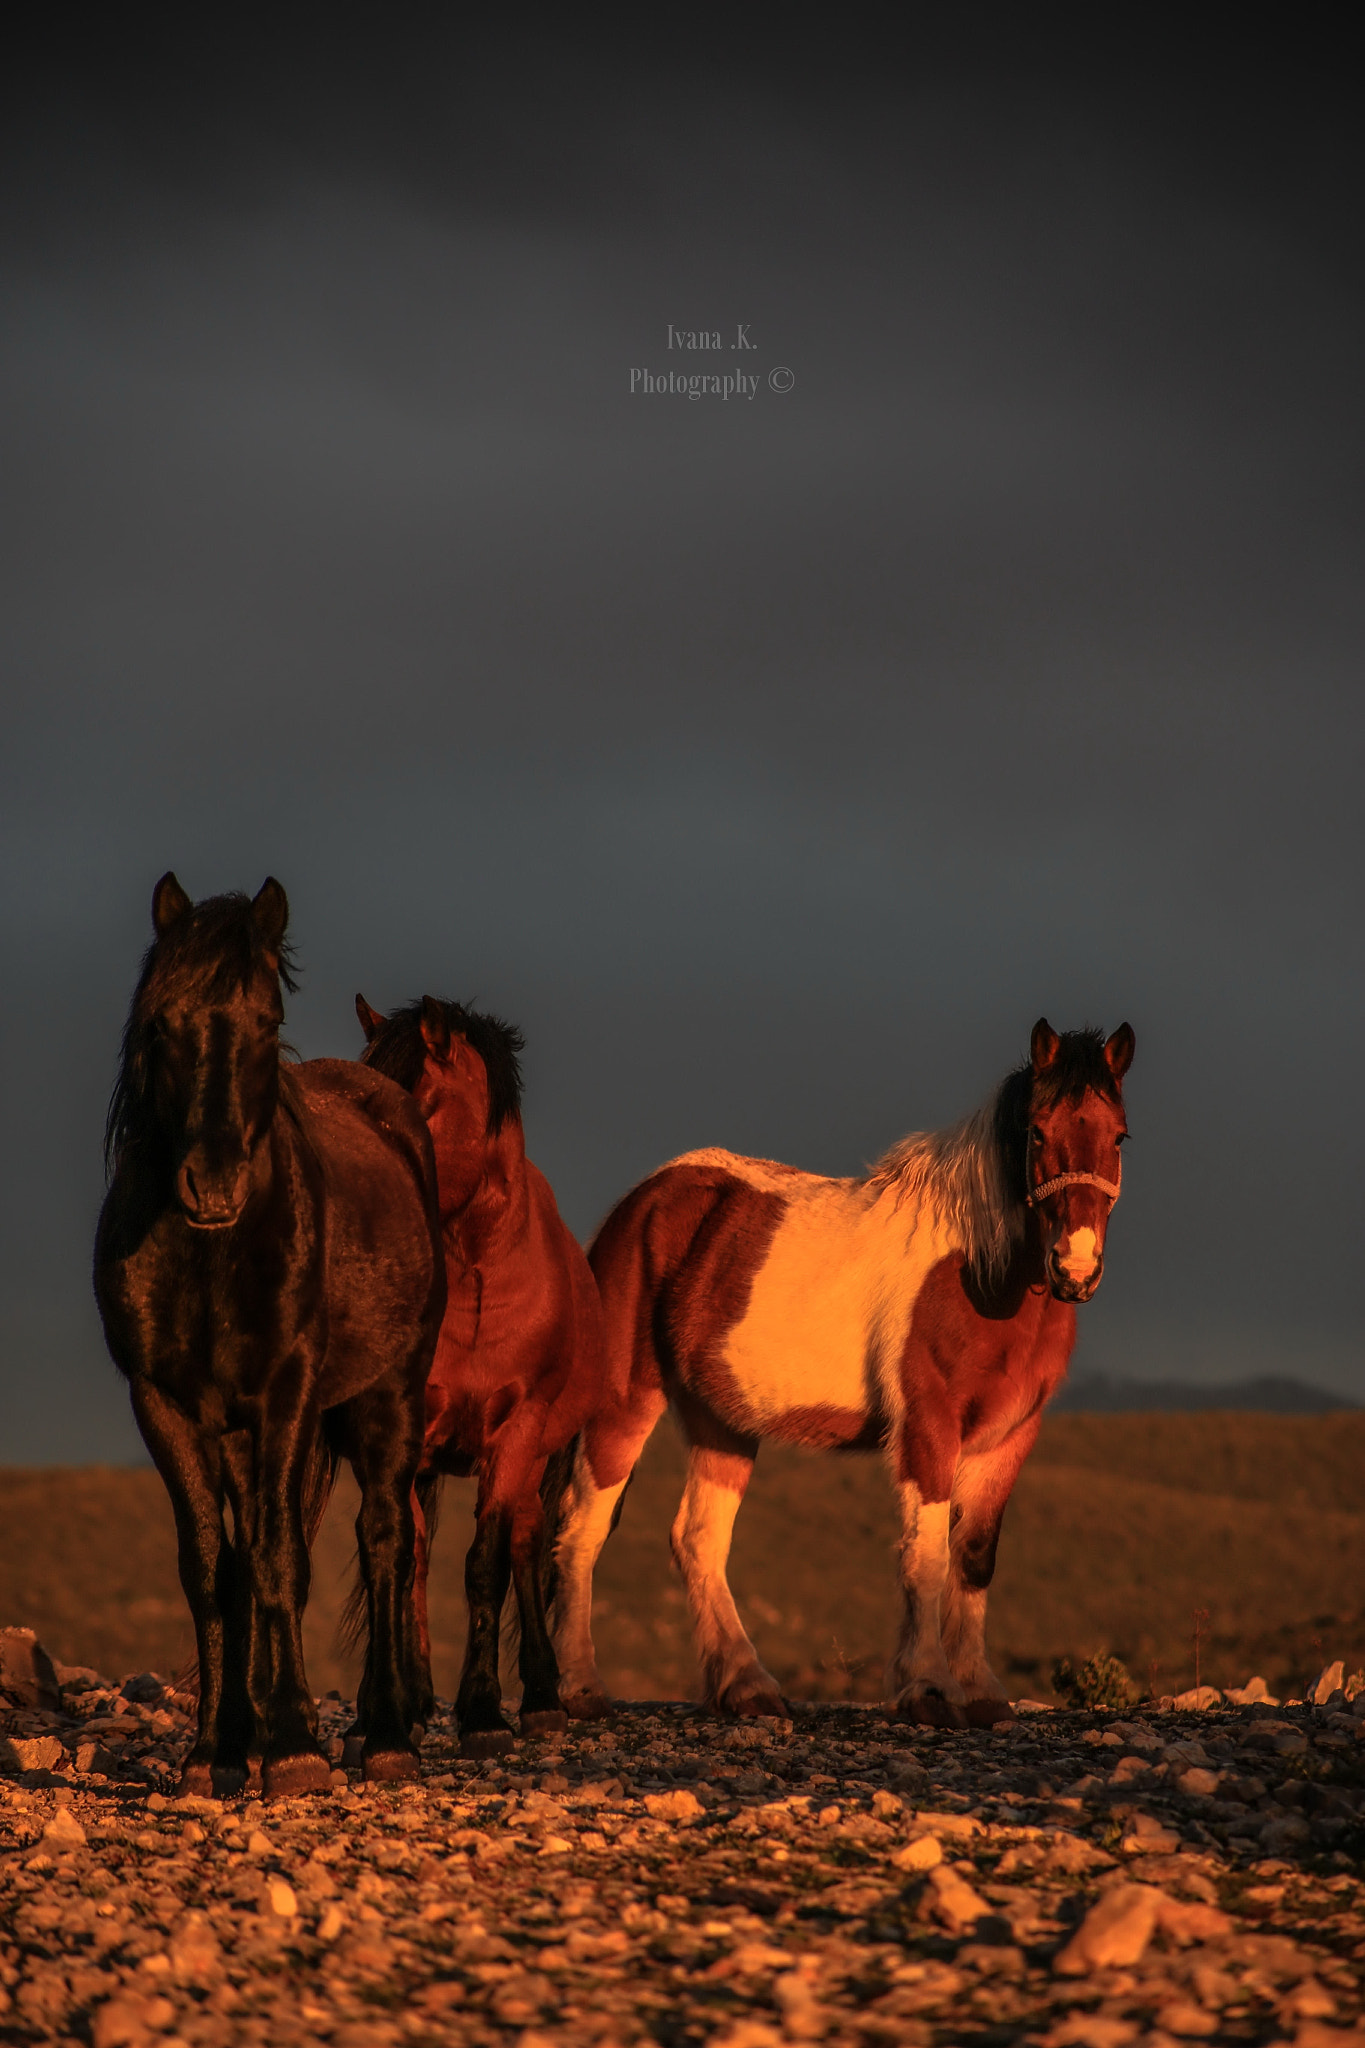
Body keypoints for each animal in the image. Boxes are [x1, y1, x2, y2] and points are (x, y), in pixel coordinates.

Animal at [96, 872, 448, 1802]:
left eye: (263, 1024)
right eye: (161, 1023)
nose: (211, 1183)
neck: (213, 1252)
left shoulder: (286, 1392)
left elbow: (279, 1558)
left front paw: (291, 1748)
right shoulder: (167, 1406)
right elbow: (212, 1569)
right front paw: (213, 1751)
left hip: (388, 1395)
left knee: (384, 1539)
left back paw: (384, 1733)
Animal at [358, 995, 609, 1761]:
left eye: (417, 1105)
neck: (477, 1279)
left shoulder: (517, 1433)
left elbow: (486, 1565)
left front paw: (482, 1712)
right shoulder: (409, 1434)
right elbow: (405, 1560)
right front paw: (405, 1706)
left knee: (525, 1543)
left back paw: (542, 1696)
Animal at [548, 1015, 1137, 1720]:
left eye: (1119, 1135)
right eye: (1038, 1131)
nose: (1076, 1267)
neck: (978, 1269)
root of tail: (640, 1204)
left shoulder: (1010, 1436)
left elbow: (973, 1556)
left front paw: (980, 1692)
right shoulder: (927, 1427)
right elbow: (926, 1557)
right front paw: (927, 1687)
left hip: (722, 1419)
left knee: (697, 1539)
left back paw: (747, 1685)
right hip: (626, 1400)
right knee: (583, 1526)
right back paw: (582, 1686)